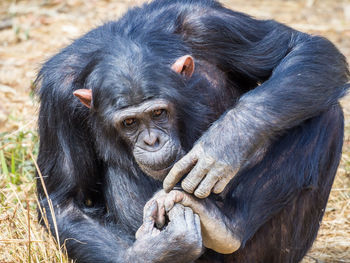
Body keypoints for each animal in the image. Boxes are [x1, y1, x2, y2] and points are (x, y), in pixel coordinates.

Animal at [36, 0, 350, 262]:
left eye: (158, 113)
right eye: (129, 123)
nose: (152, 141)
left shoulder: (208, 23)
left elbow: (302, 47)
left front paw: (223, 144)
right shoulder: (57, 95)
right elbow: (63, 201)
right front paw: (157, 250)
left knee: (326, 114)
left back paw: (225, 224)